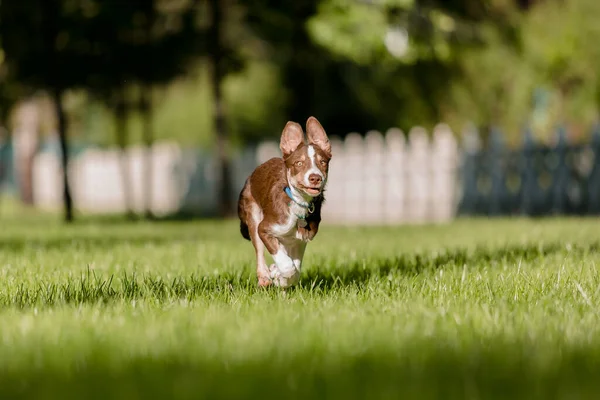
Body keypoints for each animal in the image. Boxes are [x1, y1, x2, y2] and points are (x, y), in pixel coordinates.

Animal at [238, 115, 332, 288]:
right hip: (253, 214)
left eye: (322, 162)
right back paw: (264, 277)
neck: (298, 202)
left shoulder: (301, 239)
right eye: (299, 163)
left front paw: (280, 278)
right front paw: (278, 275)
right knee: (260, 251)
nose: (315, 178)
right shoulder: (265, 228)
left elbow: (296, 268)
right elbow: (288, 265)